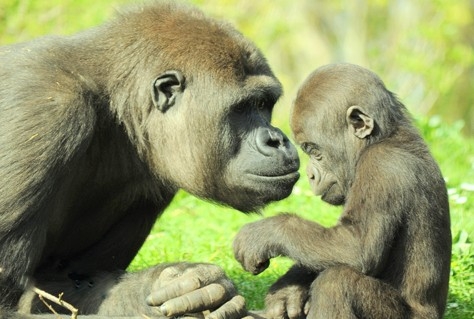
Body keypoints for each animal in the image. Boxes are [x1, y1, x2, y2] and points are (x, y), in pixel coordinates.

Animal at [0, 1, 298, 318]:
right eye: (242, 108)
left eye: (264, 105)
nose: (277, 140)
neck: (116, 101)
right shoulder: (44, 112)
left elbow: (68, 281)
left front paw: (163, 287)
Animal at [233, 63, 452, 318]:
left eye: (313, 151)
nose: (310, 175)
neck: (383, 138)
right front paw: (290, 288)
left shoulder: (380, 166)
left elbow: (355, 245)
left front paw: (264, 233)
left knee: (338, 281)